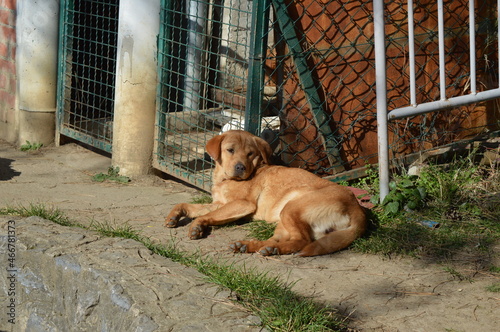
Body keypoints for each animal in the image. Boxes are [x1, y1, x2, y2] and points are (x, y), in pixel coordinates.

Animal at [165, 130, 368, 256]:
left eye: (250, 154)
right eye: (230, 150)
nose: (240, 167)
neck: (224, 180)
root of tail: (357, 208)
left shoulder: (242, 204)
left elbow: (205, 216)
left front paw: (197, 226)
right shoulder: (219, 203)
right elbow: (189, 206)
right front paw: (174, 216)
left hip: (291, 208)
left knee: (302, 242)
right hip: (284, 221)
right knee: (278, 240)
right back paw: (252, 246)